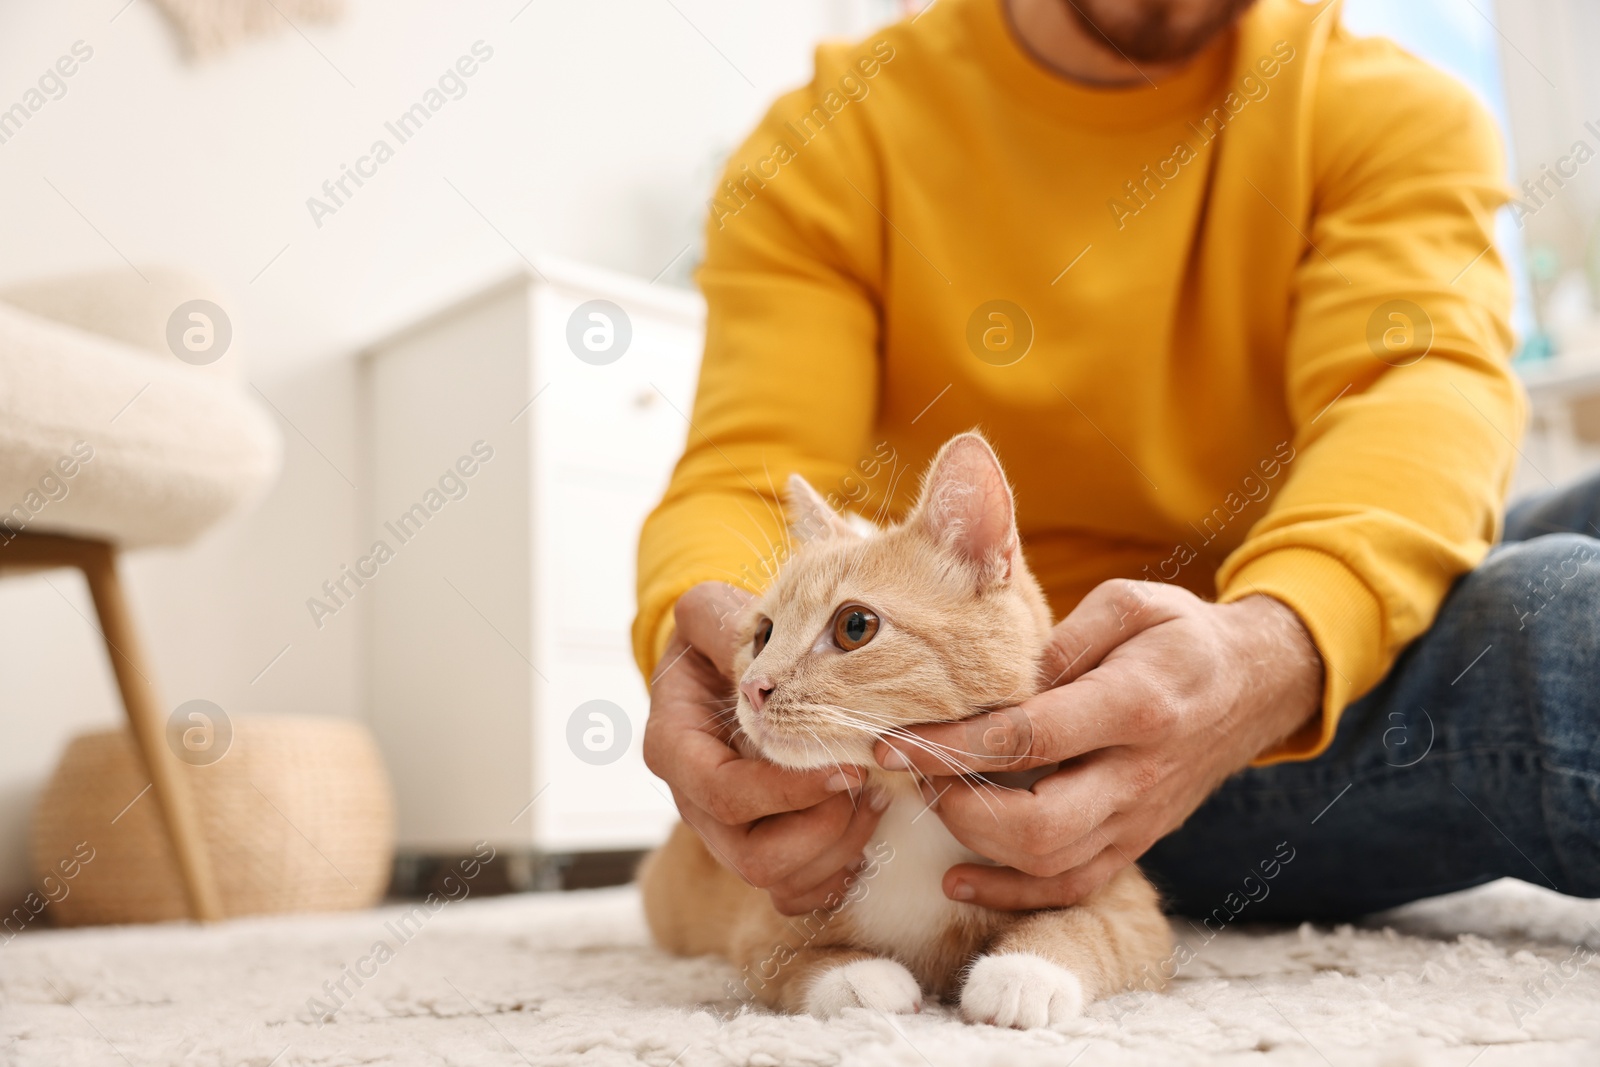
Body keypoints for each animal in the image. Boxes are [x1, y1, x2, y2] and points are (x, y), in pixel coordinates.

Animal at [636, 431, 1177, 1023]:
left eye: (854, 626)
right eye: (763, 634)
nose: (753, 687)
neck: (908, 811)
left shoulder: (1128, 908)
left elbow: (1090, 924)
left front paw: (1025, 971)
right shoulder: (761, 930)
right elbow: (791, 961)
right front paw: (857, 977)